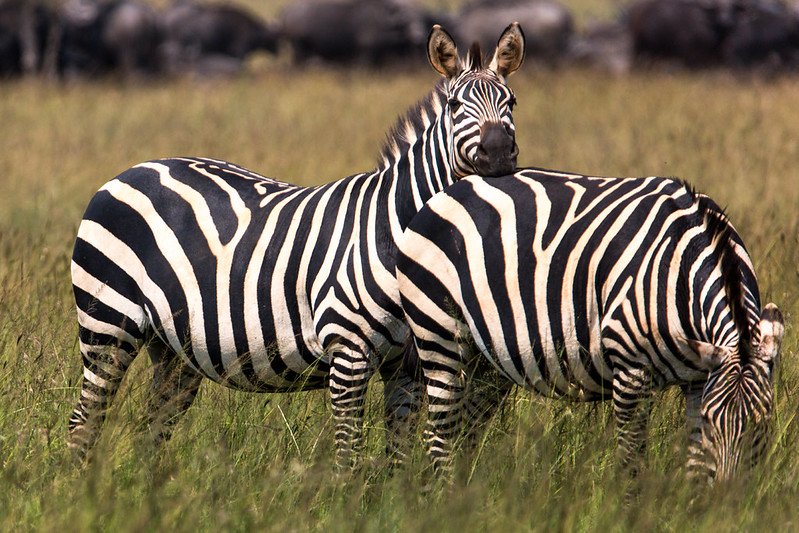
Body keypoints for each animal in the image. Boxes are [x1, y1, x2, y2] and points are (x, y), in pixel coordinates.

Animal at [67, 23, 526, 467]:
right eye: (455, 106)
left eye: (513, 102)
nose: (499, 153)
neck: (395, 231)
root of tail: (133, 170)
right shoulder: (348, 354)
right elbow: (348, 456)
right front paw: (346, 496)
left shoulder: (408, 365)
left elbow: (397, 457)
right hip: (108, 323)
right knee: (83, 421)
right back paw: (82, 490)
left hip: (174, 349)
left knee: (152, 429)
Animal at [396, 169, 785, 481]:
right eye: (709, 422)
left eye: (763, 424)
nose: (727, 500)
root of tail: (449, 191)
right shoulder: (630, 370)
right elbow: (631, 467)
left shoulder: (699, 377)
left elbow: (696, 467)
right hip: (440, 336)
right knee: (441, 439)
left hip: (487, 361)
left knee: (465, 436)